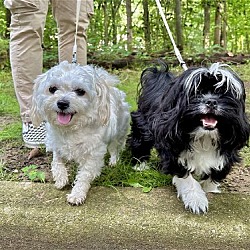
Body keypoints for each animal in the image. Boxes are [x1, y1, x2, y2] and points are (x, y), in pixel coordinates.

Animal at [30, 61, 130, 205]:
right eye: (52, 89)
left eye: (80, 91)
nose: (62, 103)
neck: (71, 130)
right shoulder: (57, 145)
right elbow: (56, 162)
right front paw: (61, 179)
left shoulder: (93, 155)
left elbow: (84, 176)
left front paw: (77, 194)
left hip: (118, 133)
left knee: (114, 149)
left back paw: (113, 161)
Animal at [128, 60, 249, 213]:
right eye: (197, 92)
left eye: (222, 93)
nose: (211, 101)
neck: (203, 137)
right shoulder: (173, 150)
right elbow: (186, 177)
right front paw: (196, 200)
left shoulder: (226, 153)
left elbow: (215, 175)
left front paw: (209, 190)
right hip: (143, 124)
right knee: (139, 141)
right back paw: (140, 165)